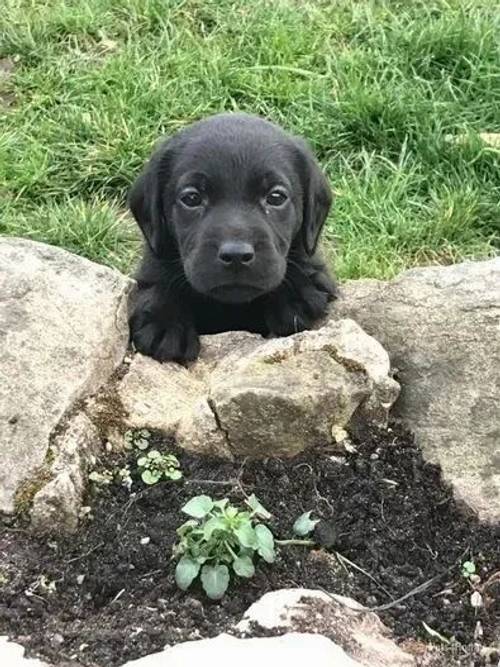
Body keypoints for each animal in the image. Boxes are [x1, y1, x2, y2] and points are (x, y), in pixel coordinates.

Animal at [130, 115, 336, 366]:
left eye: (276, 197)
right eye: (192, 198)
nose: (236, 255)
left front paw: (298, 290)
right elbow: (158, 272)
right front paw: (165, 318)